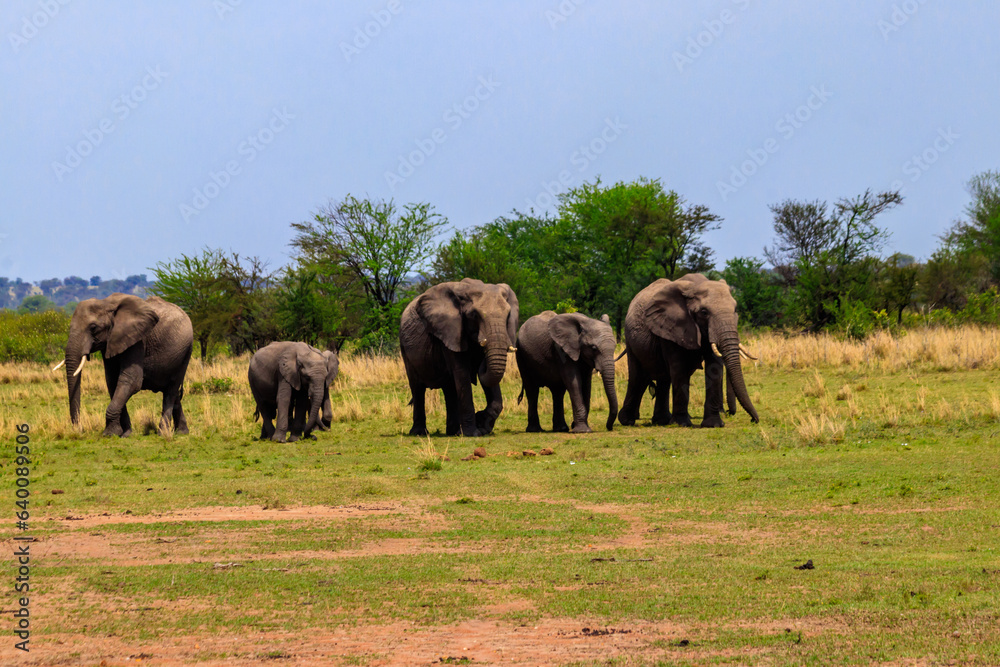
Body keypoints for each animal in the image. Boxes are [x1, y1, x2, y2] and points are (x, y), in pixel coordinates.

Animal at [55, 294, 193, 438]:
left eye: (93, 327)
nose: (79, 429)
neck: (106, 303)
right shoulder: (110, 342)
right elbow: (112, 381)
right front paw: (125, 434)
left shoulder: (137, 339)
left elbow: (131, 380)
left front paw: (109, 434)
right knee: (174, 392)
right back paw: (182, 432)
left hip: (186, 351)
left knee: (171, 390)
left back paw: (163, 433)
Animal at [400, 278, 520, 438]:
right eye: (474, 315)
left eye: (508, 315)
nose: (481, 359)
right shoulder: (451, 331)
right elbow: (462, 373)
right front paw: (473, 433)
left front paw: (482, 424)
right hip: (405, 350)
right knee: (417, 388)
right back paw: (419, 433)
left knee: (449, 388)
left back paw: (453, 432)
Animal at [616, 276, 756, 428]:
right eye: (704, 312)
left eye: (735, 309)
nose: (754, 420)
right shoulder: (671, 328)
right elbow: (679, 369)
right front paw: (682, 424)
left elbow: (714, 368)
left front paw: (713, 425)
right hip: (631, 340)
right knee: (638, 377)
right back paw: (628, 420)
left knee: (663, 378)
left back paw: (661, 421)